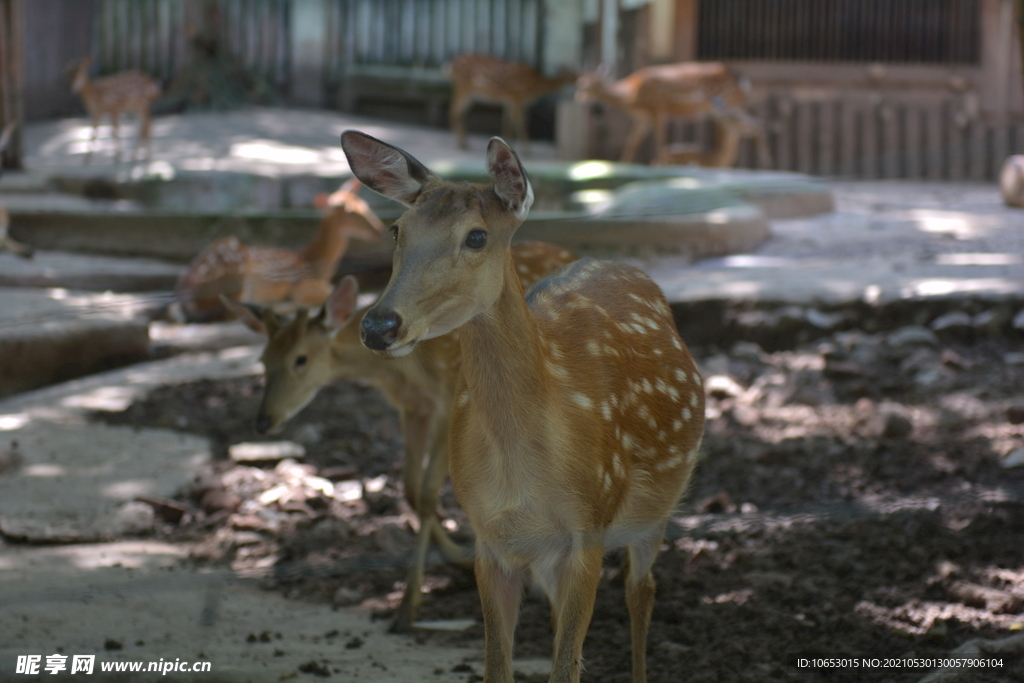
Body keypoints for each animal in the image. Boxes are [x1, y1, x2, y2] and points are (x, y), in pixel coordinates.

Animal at [174, 179, 385, 323]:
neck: (312, 262)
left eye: (364, 205)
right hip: (234, 273)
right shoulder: (302, 283)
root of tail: (185, 296)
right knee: (229, 313)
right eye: (351, 212)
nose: (380, 230)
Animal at [223, 242, 577, 634]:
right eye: (262, 360)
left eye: (300, 359)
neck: (404, 370)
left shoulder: (447, 399)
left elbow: (427, 492)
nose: (263, 421)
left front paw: (409, 604)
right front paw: (459, 558)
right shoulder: (411, 408)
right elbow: (409, 488)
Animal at [342, 129, 704, 683]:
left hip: (655, 509)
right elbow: (501, 666)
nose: (379, 325)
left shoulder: (589, 527)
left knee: (641, 592)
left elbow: (566, 665)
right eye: (396, 229)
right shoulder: (489, 540)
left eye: (476, 236)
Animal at [448, 53, 577, 154]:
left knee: (460, 111)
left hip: (470, 93)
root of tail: (451, 65)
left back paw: (464, 142)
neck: (534, 87)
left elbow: (508, 120)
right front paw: (526, 150)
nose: (579, 80)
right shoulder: (516, 96)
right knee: (454, 109)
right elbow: (520, 121)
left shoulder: (509, 100)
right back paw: (461, 144)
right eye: (574, 74)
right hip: (463, 86)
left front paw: (507, 145)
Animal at [581, 61, 749, 165]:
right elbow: (632, 141)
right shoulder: (643, 119)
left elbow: (660, 141)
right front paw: (624, 166)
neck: (630, 96)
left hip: (731, 104)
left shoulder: (657, 109)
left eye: (584, 86)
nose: (579, 97)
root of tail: (741, 81)